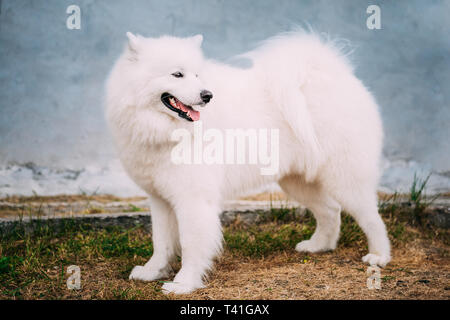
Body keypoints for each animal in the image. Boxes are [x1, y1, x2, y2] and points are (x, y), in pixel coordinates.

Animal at [105, 31, 390, 294]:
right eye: (177, 74)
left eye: (197, 75)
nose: (207, 95)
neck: (168, 131)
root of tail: (336, 76)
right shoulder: (161, 199)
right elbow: (161, 241)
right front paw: (152, 271)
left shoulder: (193, 200)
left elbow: (190, 244)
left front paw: (183, 283)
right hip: (297, 183)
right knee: (330, 210)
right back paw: (319, 246)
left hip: (345, 179)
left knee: (372, 218)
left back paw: (379, 256)